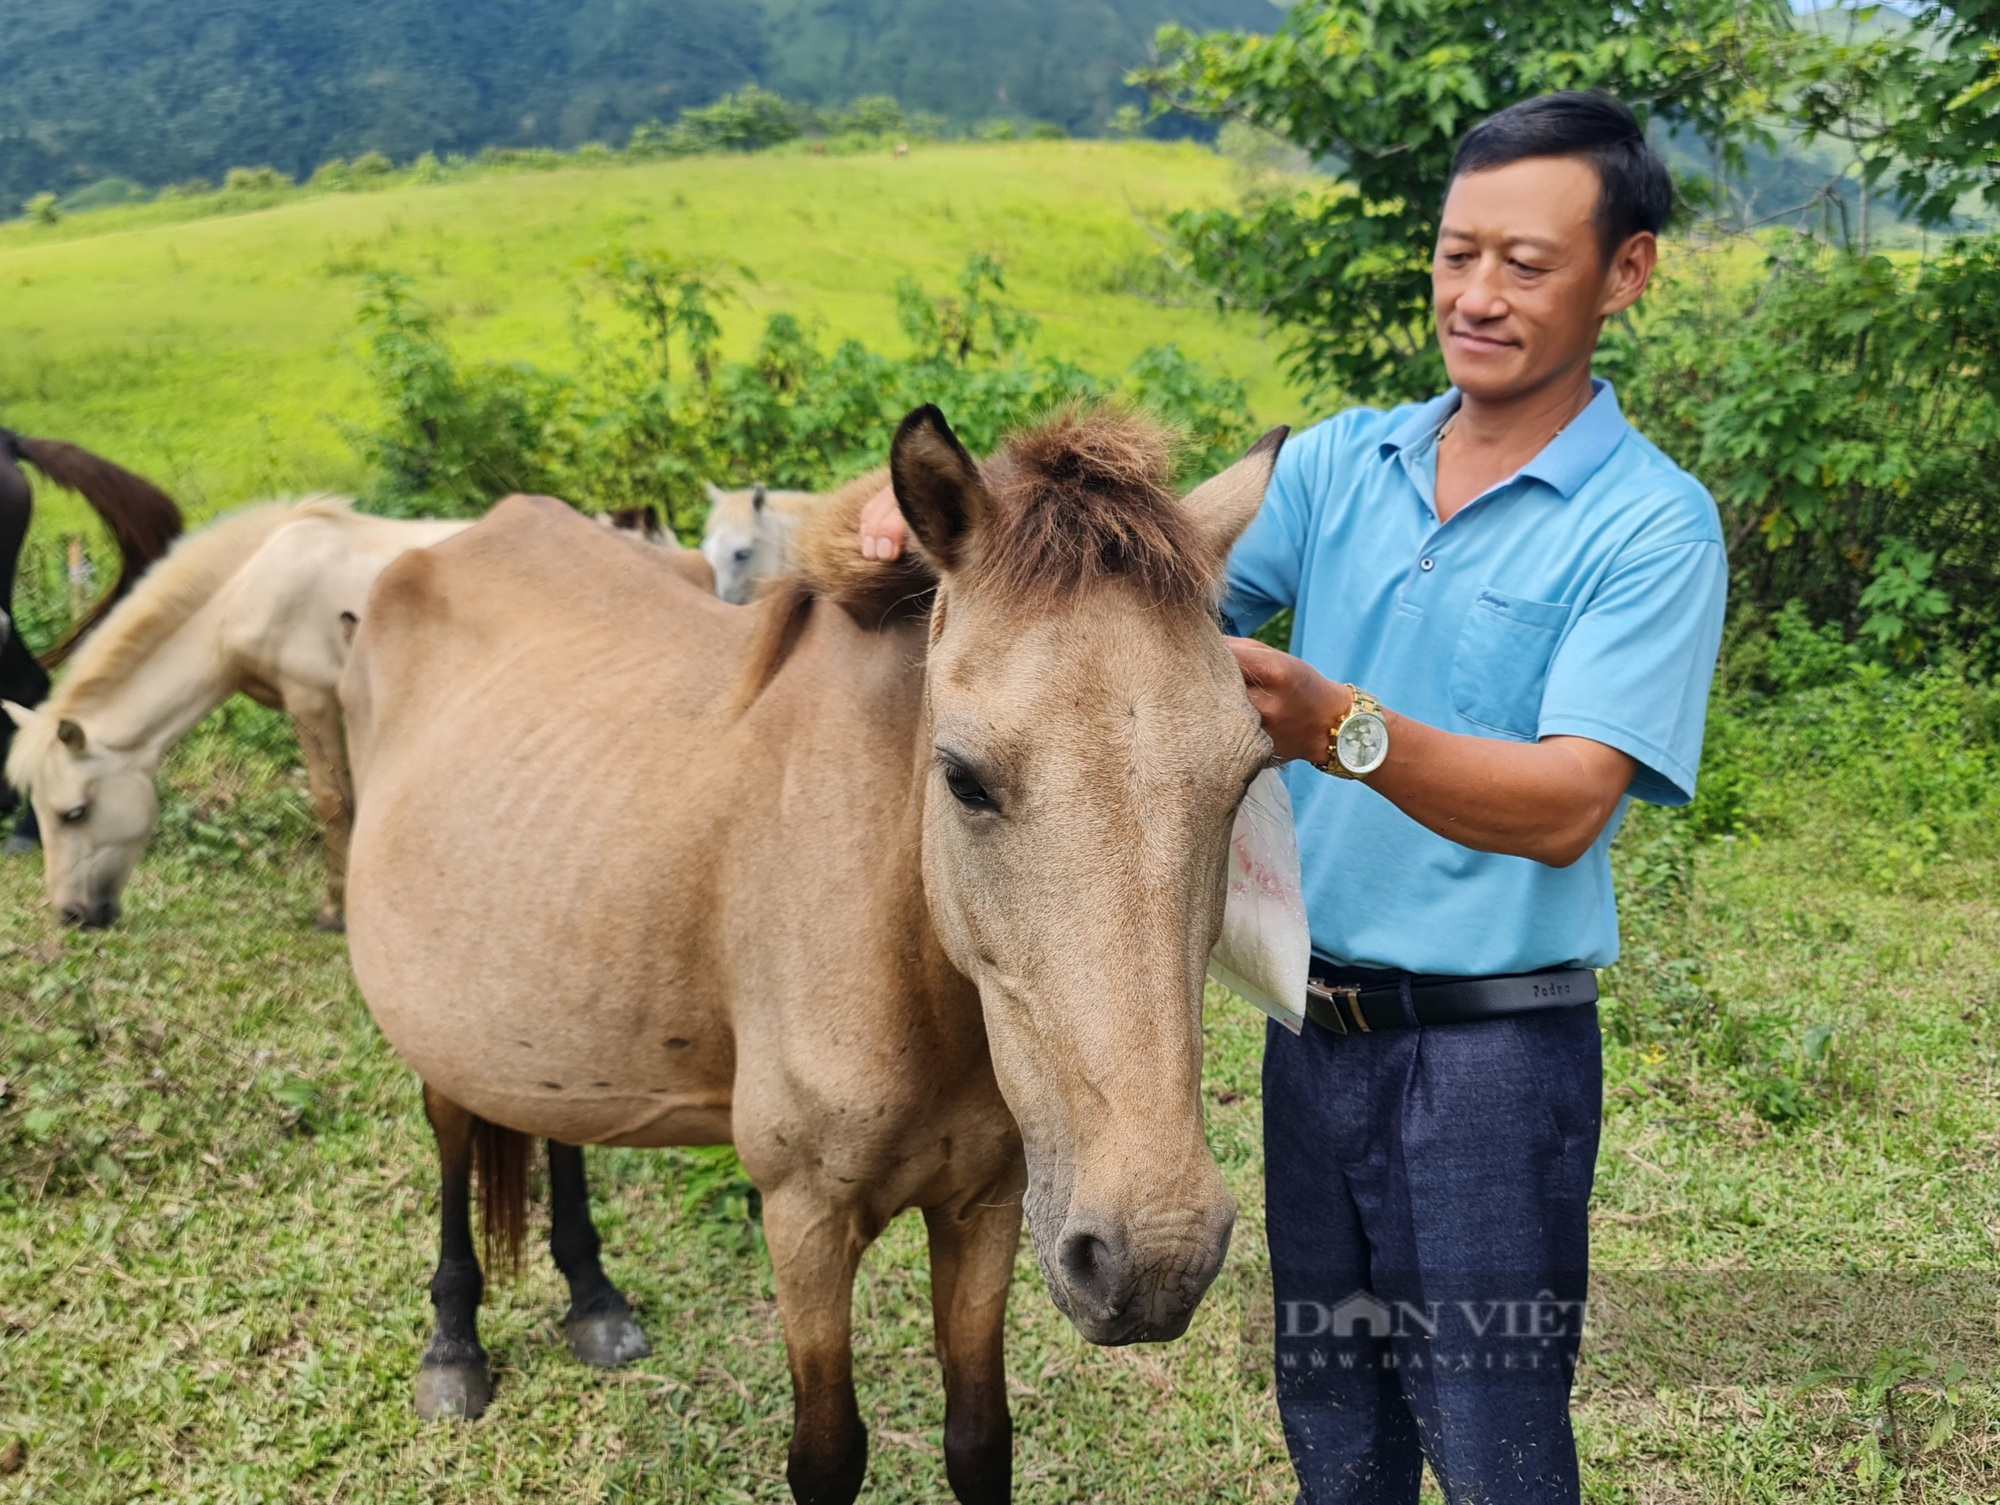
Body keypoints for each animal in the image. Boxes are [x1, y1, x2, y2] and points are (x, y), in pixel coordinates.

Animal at [5, 496, 464, 928]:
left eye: (74, 813)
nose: (72, 915)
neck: (250, 594)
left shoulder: (311, 700)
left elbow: (333, 803)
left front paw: (336, 913)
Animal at [340, 406, 1280, 1496]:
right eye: (962, 776)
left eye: (1245, 774)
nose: (1156, 1251)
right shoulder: (804, 1222)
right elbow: (827, 1453)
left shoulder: (986, 1207)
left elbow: (978, 1436)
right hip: (439, 1020)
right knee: (453, 1128)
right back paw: (453, 1345)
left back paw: (594, 1298)